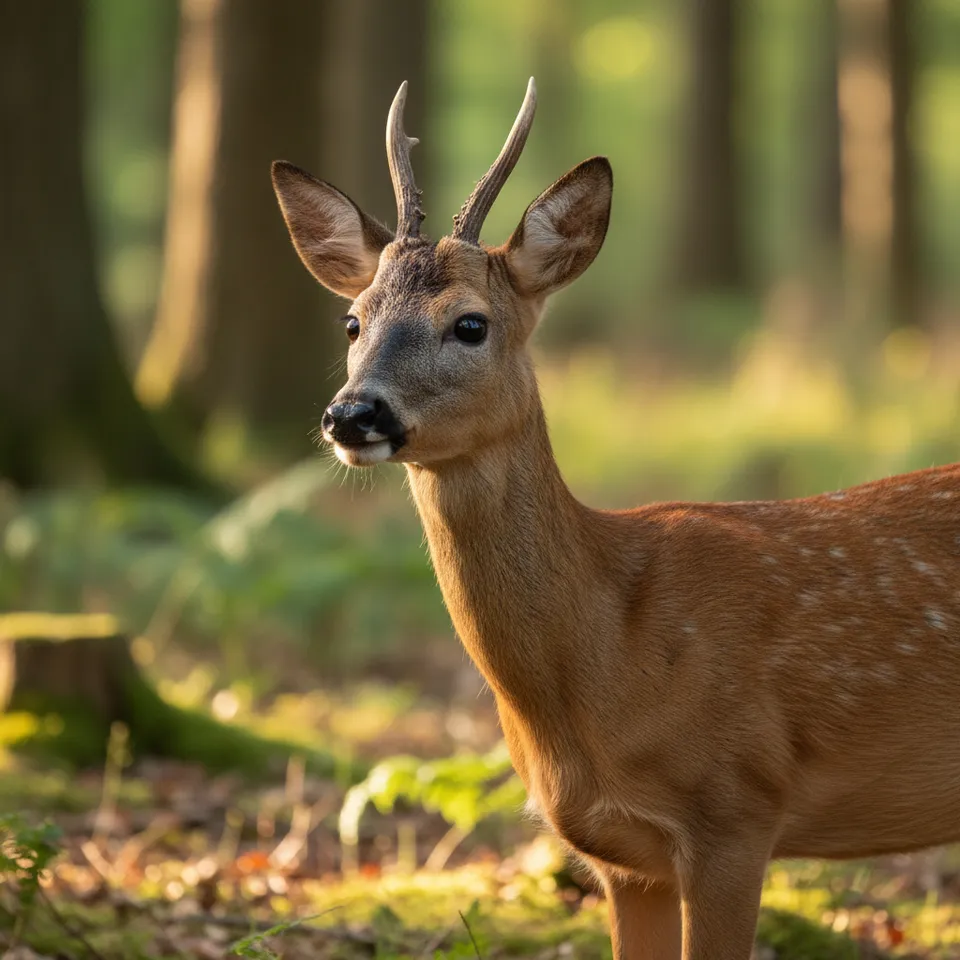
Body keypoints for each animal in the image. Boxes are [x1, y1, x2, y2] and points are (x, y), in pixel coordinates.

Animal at [271, 78, 960, 960]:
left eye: (470, 323)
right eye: (353, 321)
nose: (352, 414)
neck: (610, 647)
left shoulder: (735, 808)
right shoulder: (622, 857)